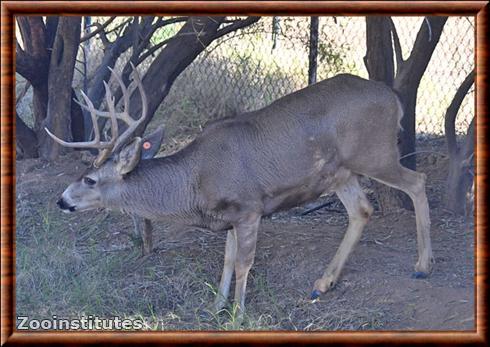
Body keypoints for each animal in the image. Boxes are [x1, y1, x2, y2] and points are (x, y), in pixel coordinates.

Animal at [46, 64, 432, 318]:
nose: (62, 200)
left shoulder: (248, 207)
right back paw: (323, 283)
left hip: (375, 153)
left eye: (90, 180)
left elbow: (245, 262)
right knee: (362, 210)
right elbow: (228, 260)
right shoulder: (229, 217)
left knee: (417, 181)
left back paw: (422, 266)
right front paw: (216, 306)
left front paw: (238, 312)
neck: (194, 183)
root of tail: (395, 99)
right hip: (340, 173)